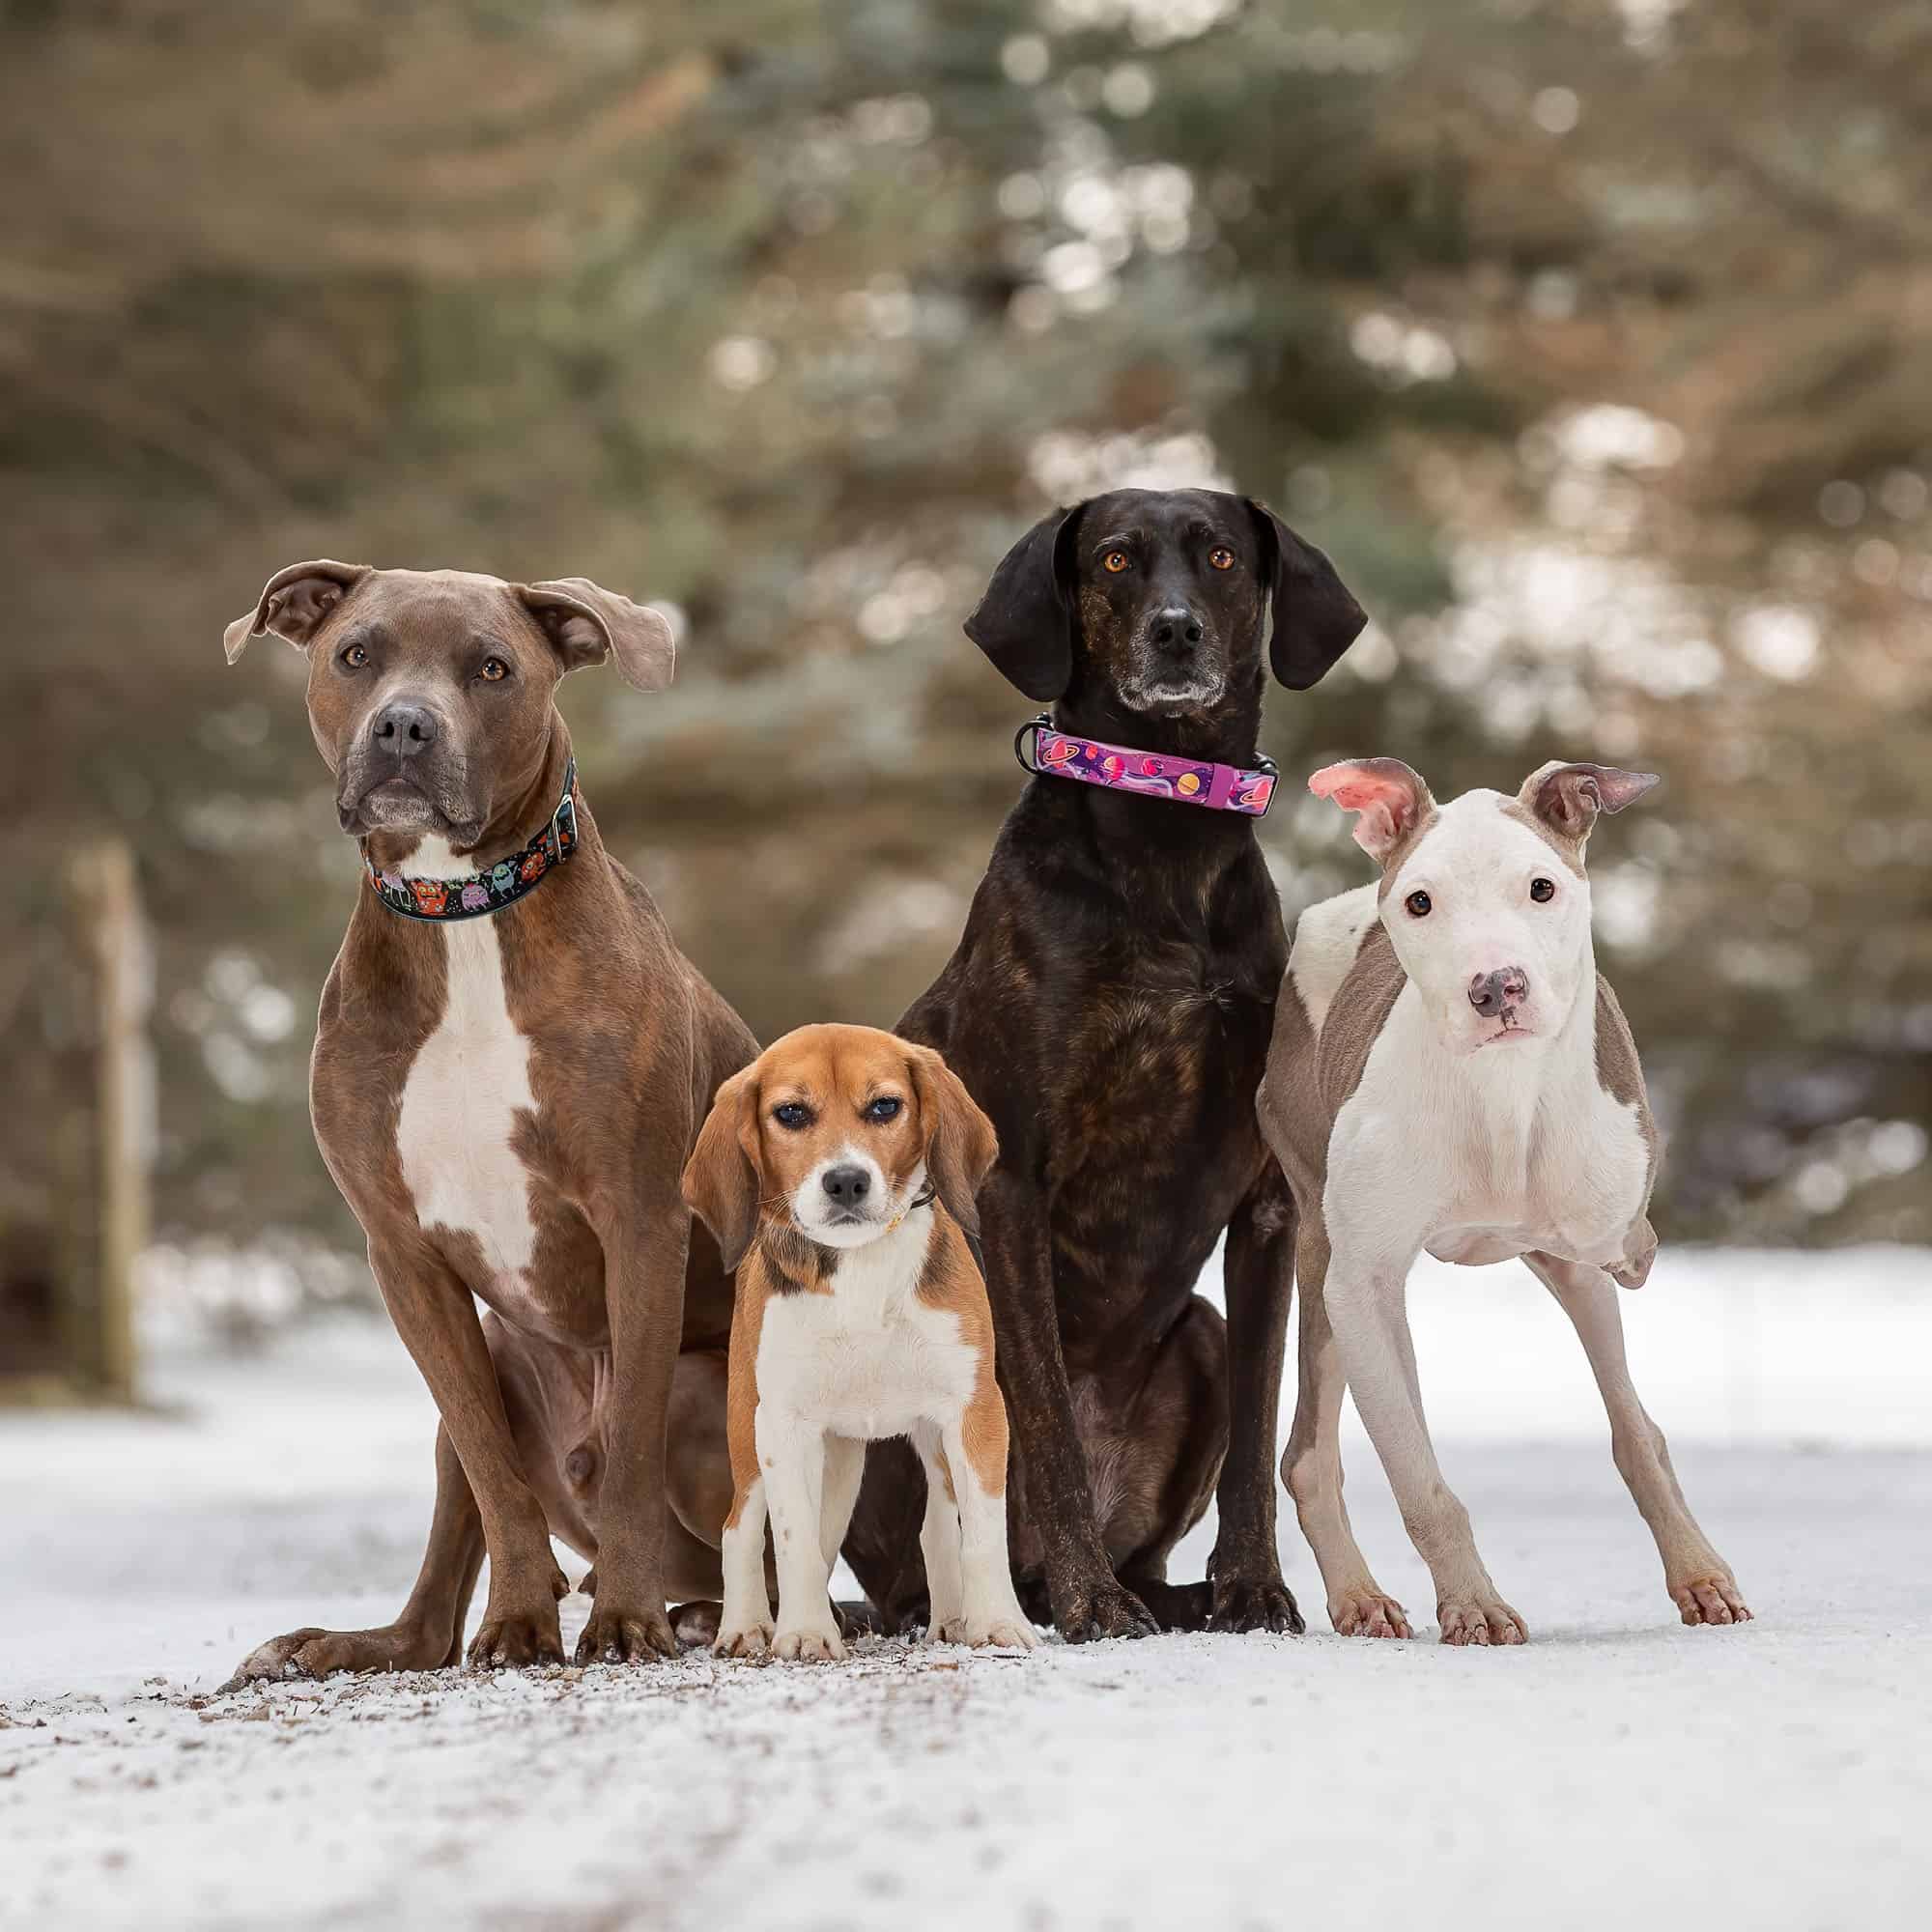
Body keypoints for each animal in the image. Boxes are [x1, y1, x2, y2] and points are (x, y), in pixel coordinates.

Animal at [217, 564, 746, 1677]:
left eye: (492, 667)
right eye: (356, 654)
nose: (404, 725)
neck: (461, 909)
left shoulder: (640, 1220)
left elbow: (630, 1454)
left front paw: (623, 1620)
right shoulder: (403, 1254)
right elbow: (495, 1477)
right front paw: (517, 1622)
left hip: (706, 1387)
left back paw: (699, 1614)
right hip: (495, 1362)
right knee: (435, 1603)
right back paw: (341, 1642)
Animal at [684, 1028, 1043, 1662]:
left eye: (884, 1106)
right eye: (791, 1113)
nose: (846, 1180)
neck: (862, 1266)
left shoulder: (976, 1410)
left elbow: (980, 1534)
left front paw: (998, 1622)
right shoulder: (784, 1424)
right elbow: (792, 1537)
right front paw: (804, 1633)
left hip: (879, 1450)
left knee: (931, 1526)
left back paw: (951, 1618)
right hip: (749, 1430)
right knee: (741, 1527)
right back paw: (748, 1626)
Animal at [850, 483, 1376, 1631]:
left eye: (1221, 558)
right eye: (1115, 560)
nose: (1175, 632)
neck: (1166, 830)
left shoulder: (1267, 1204)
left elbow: (1260, 1432)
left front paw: (1256, 1586)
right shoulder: (1011, 1186)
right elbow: (1041, 1415)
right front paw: (1093, 1604)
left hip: (1198, 1334)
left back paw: (1168, 1592)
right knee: (931, 1569)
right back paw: (1055, 1592)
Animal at [1260, 753, 1762, 1646]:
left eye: (1541, 888)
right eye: (1421, 902)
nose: (1497, 986)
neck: (1500, 1094)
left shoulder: (1596, 1229)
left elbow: (1623, 1258)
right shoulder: (1363, 1286)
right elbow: (1421, 1478)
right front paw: (1474, 1604)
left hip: (1568, 1276)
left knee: (1634, 1424)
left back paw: (1700, 1575)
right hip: (1319, 1252)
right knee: (1311, 1454)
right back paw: (1358, 1596)